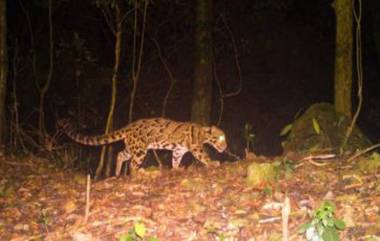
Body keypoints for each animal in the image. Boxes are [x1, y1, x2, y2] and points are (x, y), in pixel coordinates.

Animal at [58, 117, 227, 176]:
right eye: (221, 138)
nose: (225, 147)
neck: (203, 133)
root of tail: (129, 126)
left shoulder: (179, 150)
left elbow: (175, 159)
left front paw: (176, 168)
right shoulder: (196, 147)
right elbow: (204, 155)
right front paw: (213, 163)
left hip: (132, 147)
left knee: (120, 154)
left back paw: (118, 172)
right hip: (139, 150)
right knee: (133, 165)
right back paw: (140, 173)